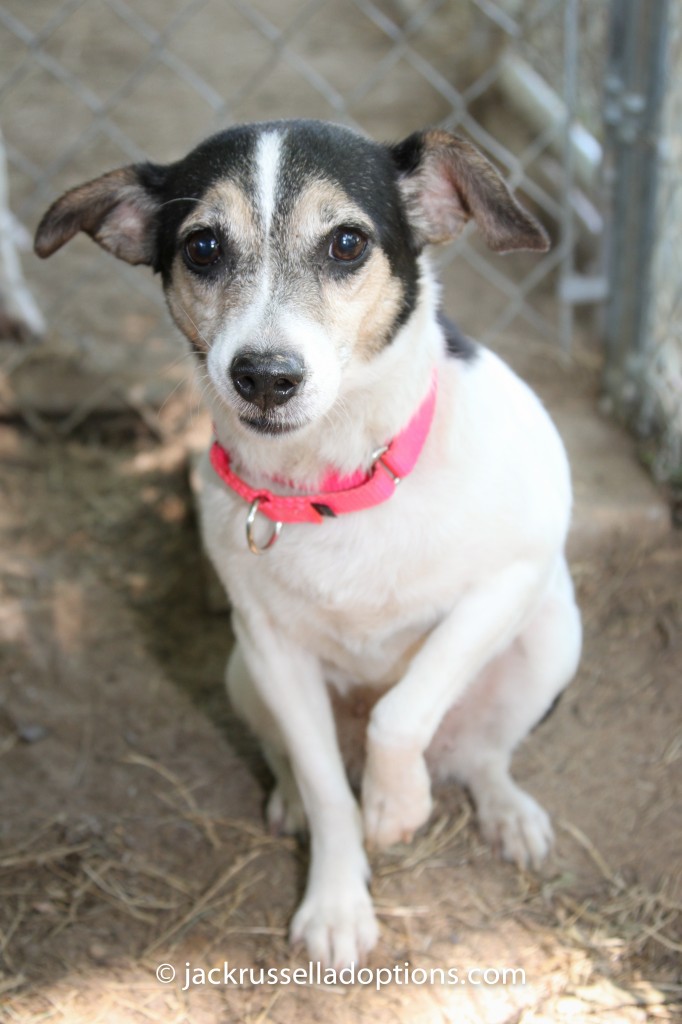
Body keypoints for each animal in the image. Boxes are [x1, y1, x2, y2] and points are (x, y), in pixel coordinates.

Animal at [34, 119, 577, 966]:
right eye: (202, 247)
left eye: (347, 242)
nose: (264, 376)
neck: (336, 482)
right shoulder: (271, 649)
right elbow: (327, 788)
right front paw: (337, 902)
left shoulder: (515, 575)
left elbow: (403, 710)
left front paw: (394, 806)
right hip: (240, 676)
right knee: (294, 758)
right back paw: (290, 797)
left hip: (552, 636)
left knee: (484, 754)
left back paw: (504, 810)